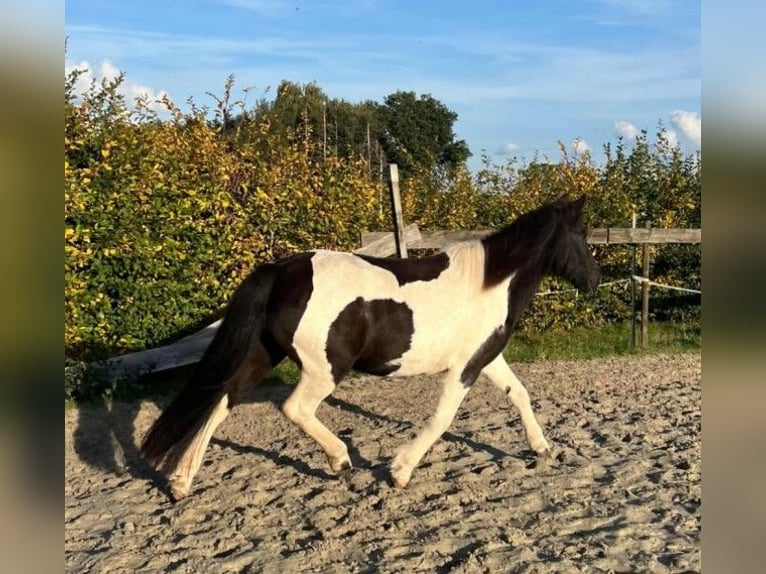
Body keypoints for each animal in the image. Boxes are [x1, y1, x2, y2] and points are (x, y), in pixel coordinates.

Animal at [140, 194, 601, 501]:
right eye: (580, 235)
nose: (595, 280)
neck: (491, 282)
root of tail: (282, 270)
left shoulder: (488, 357)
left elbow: (518, 393)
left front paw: (542, 448)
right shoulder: (465, 367)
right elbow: (442, 419)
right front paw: (399, 472)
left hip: (263, 354)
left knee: (222, 400)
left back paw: (181, 483)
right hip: (324, 369)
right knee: (294, 408)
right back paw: (340, 461)